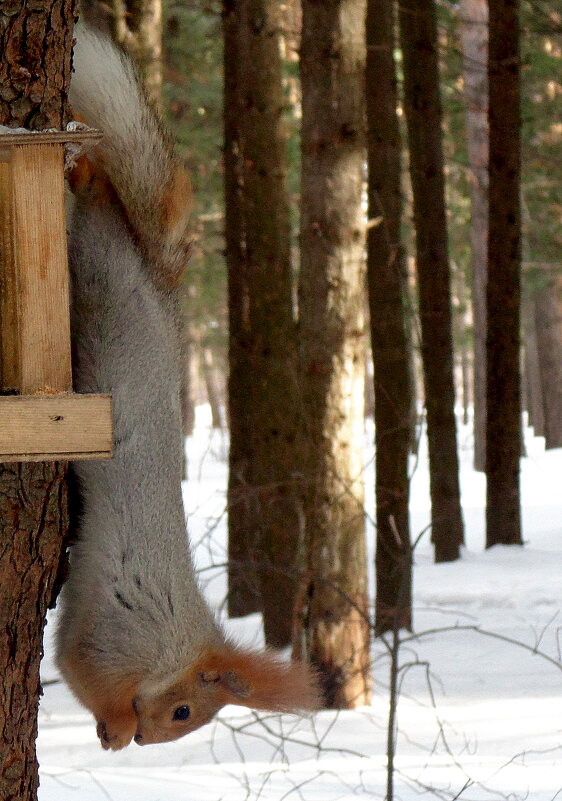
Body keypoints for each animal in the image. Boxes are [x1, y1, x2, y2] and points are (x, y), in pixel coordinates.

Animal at [57, 25, 320, 752]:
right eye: (183, 712)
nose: (151, 742)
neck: (171, 647)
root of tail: (157, 276)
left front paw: (109, 730)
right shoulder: (118, 632)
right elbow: (86, 669)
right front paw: (116, 726)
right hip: (103, 276)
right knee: (99, 206)